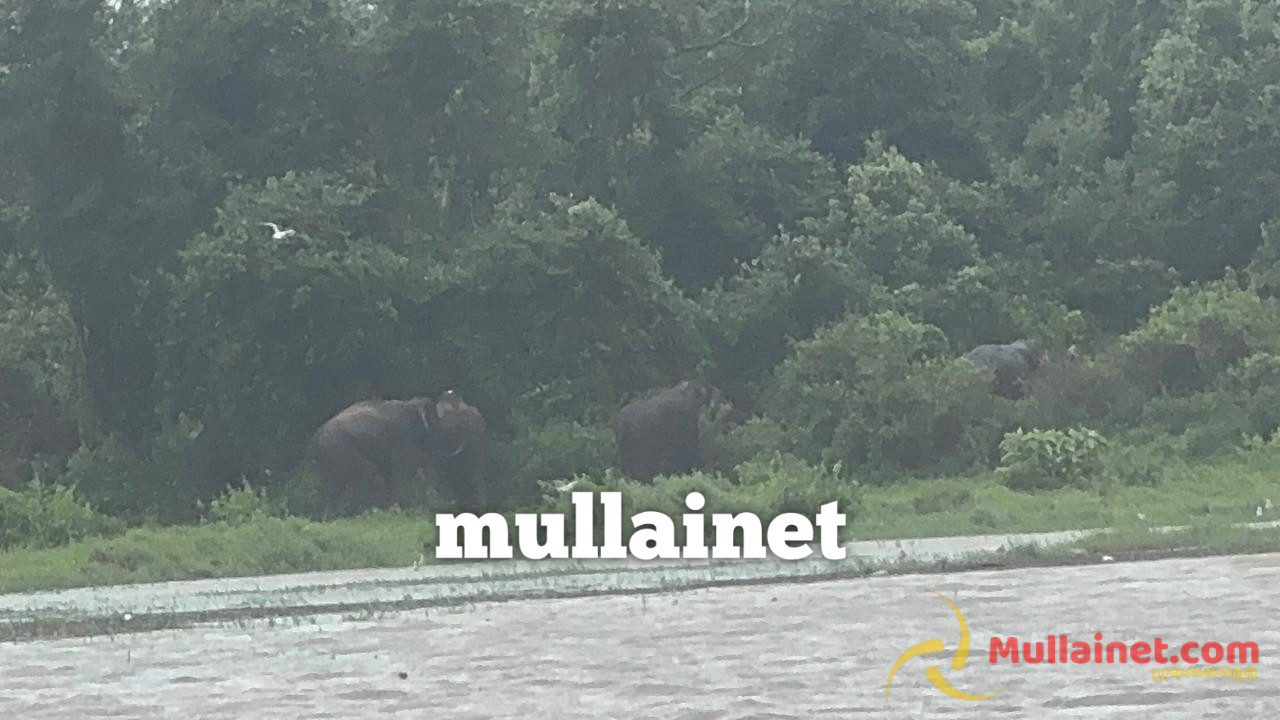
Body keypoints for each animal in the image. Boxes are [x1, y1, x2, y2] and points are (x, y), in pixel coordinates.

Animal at [306, 390, 488, 515]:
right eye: (455, 414)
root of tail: (315, 436)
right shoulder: (403, 438)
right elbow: (403, 471)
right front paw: (401, 510)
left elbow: (391, 474)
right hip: (340, 448)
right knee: (366, 473)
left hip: (329, 457)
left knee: (333, 487)